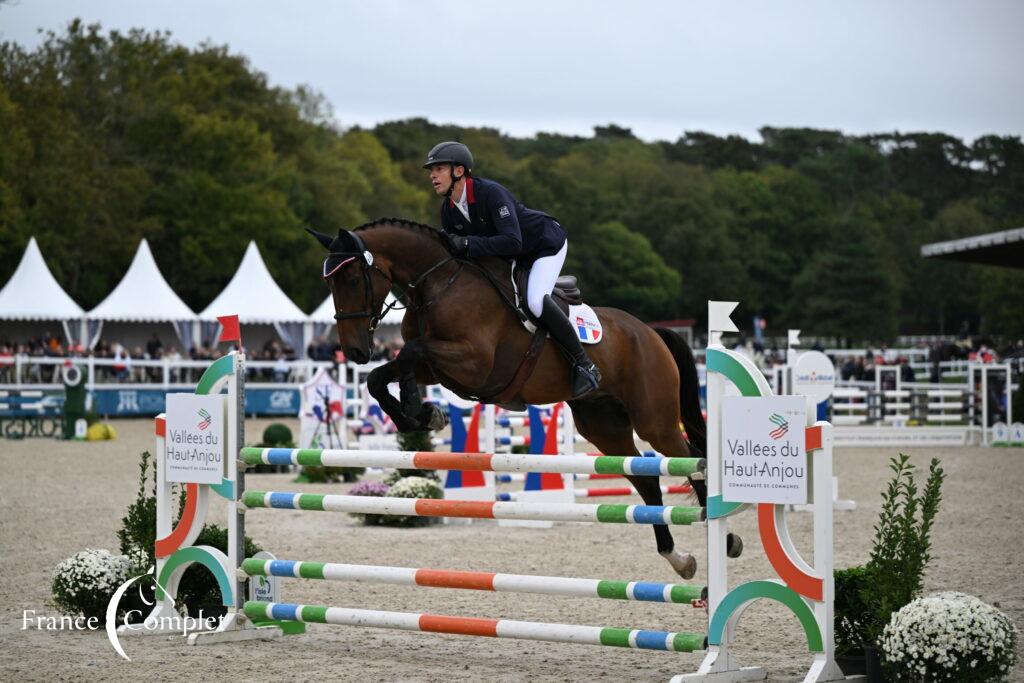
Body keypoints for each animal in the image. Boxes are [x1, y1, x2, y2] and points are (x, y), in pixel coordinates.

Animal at [307, 220, 741, 581]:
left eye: (351, 279)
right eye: (330, 284)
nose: (355, 351)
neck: (438, 283)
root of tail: (652, 332)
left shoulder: (473, 361)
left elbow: (409, 353)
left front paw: (420, 410)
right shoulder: (441, 367)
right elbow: (384, 375)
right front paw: (420, 413)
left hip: (654, 419)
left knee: (691, 459)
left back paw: (726, 538)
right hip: (604, 426)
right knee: (647, 480)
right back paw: (679, 558)